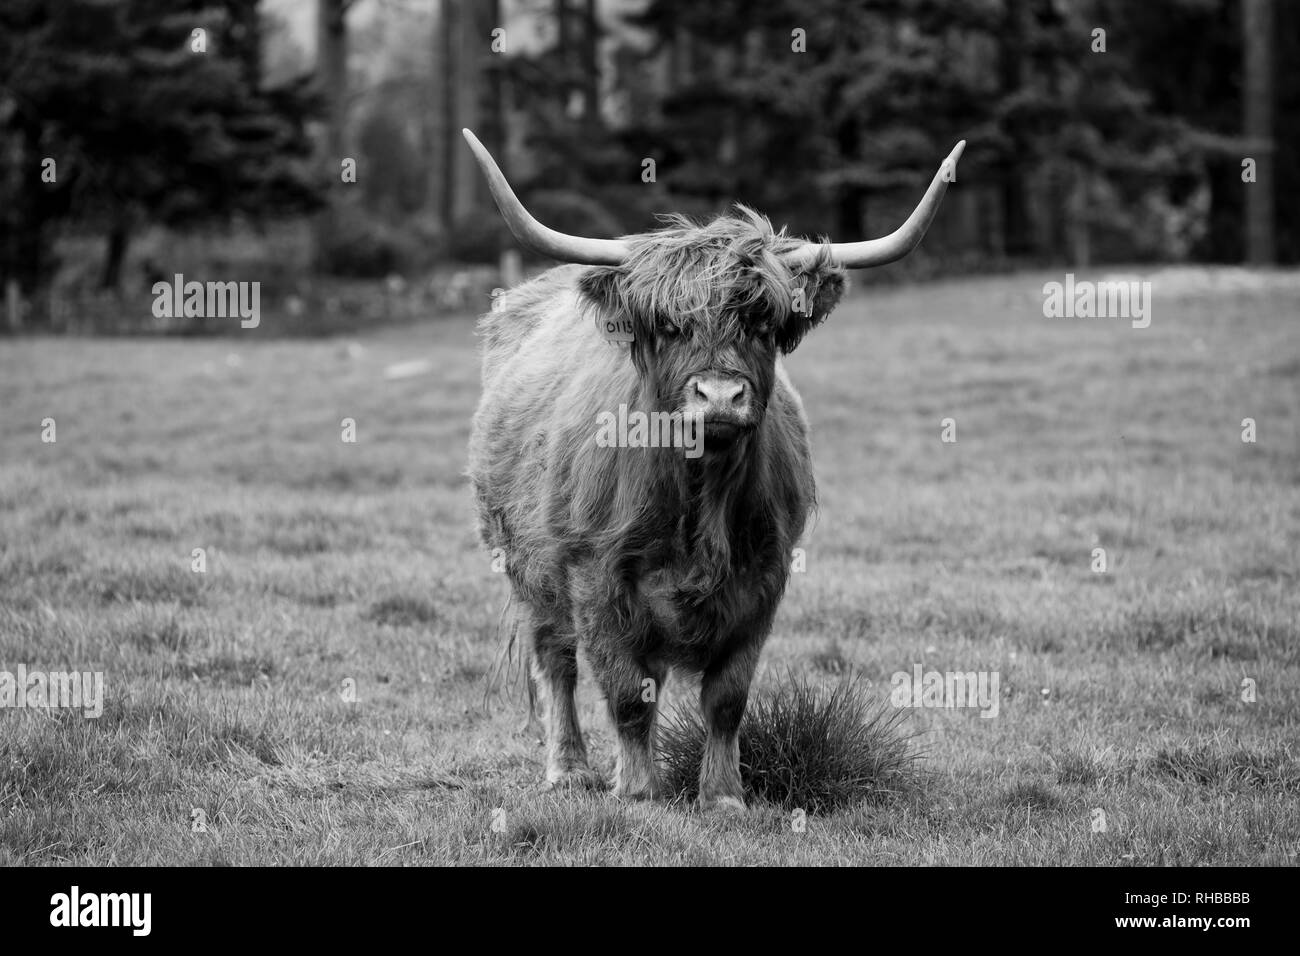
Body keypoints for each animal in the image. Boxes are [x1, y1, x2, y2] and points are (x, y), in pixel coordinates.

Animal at [464, 129, 963, 810]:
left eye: (762, 323)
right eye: (670, 326)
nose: (720, 397)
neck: (698, 497)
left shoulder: (765, 579)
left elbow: (727, 698)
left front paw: (723, 796)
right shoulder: (594, 575)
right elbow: (625, 693)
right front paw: (638, 792)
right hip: (527, 567)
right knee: (557, 662)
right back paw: (569, 769)